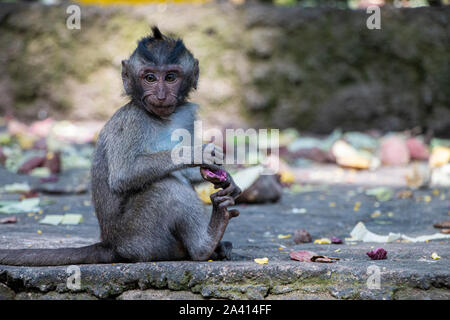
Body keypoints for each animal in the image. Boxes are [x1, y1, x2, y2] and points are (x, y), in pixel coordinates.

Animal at [0, 27, 243, 266]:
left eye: (171, 77)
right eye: (150, 78)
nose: (161, 95)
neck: (161, 118)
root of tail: (111, 244)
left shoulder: (185, 115)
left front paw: (225, 178)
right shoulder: (132, 121)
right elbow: (124, 174)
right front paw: (196, 153)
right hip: (140, 238)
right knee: (165, 186)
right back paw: (204, 245)